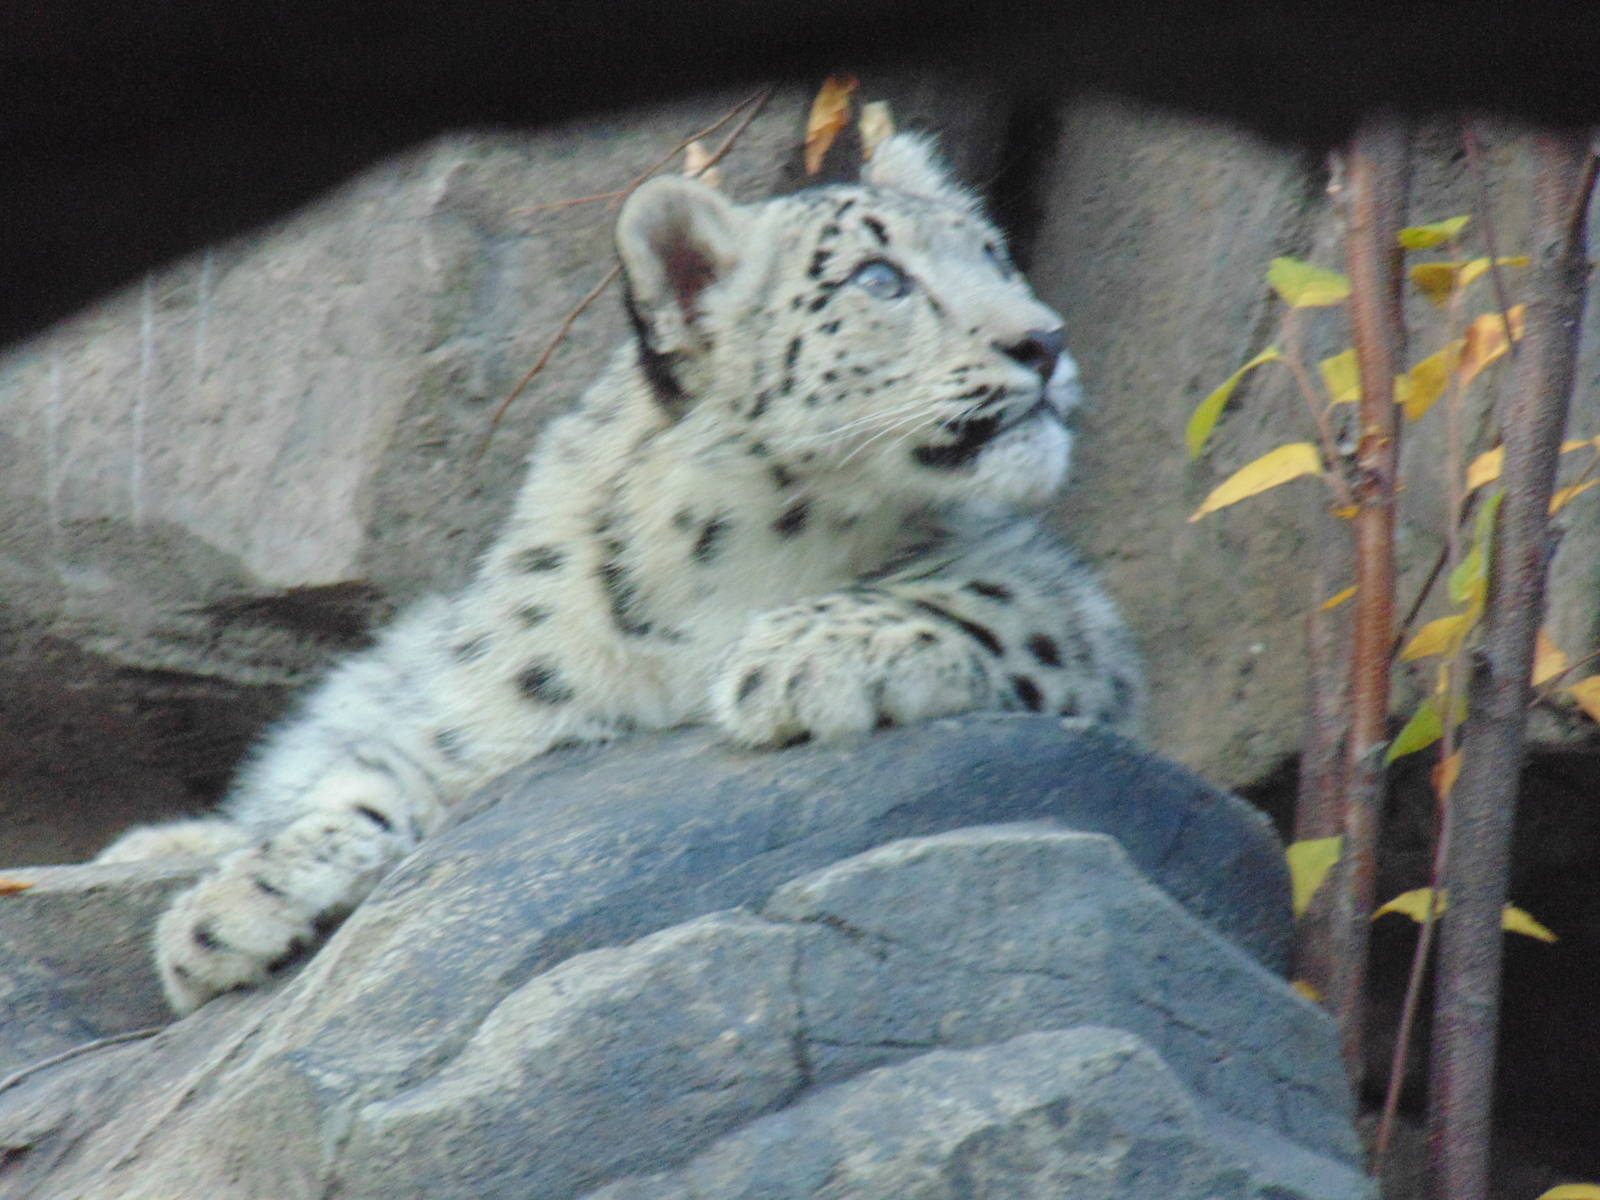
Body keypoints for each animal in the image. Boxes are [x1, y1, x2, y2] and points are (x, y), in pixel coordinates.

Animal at [98, 133, 1145, 1015]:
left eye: (996, 254)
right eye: (879, 277)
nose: (1044, 341)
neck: (743, 557)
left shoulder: (1067, 609)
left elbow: (997, 602)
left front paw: (802, 659)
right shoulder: (491, 710)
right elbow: (384, 769)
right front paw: (235, 909)